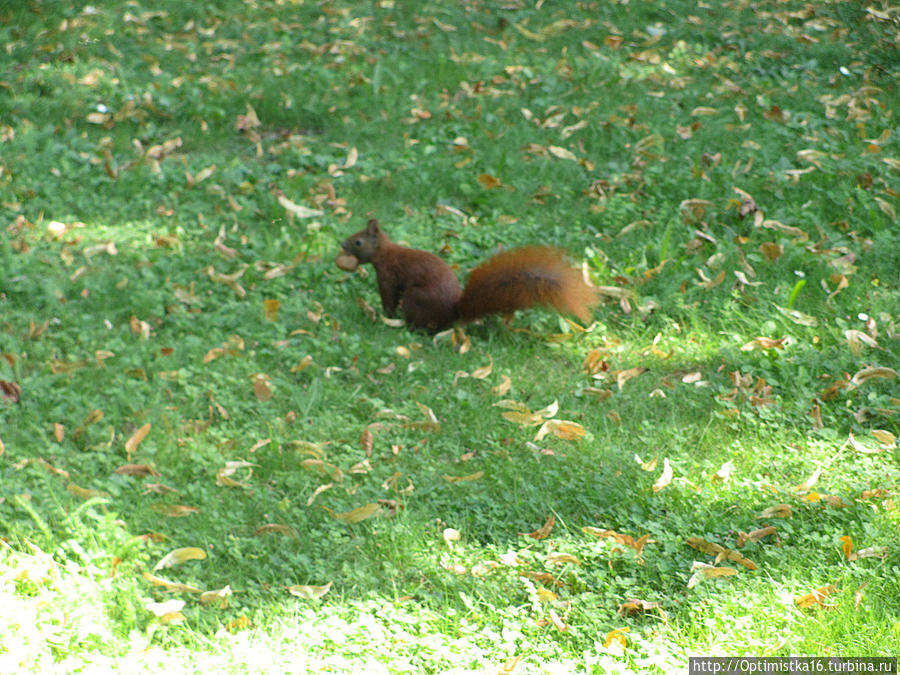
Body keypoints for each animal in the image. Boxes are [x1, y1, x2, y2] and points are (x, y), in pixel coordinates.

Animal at [338, 220, 596, 334]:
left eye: (358, 241)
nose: (342, 244)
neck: (385, 253)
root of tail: (454, 313)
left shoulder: (388, 276)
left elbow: (388, 297)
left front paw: (385, 316)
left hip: (416, 298)